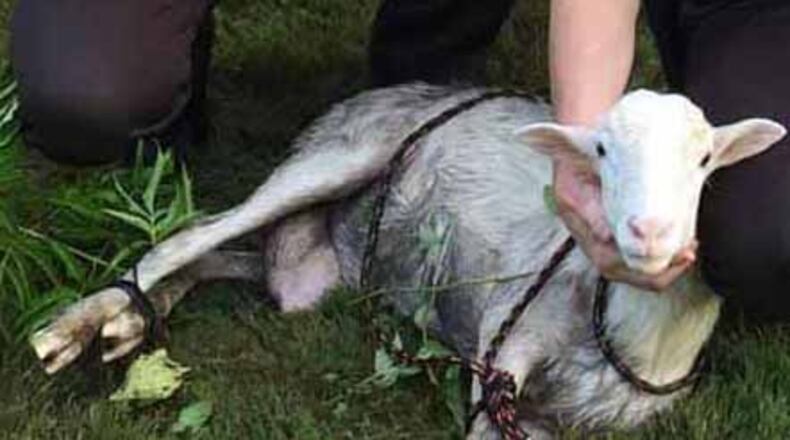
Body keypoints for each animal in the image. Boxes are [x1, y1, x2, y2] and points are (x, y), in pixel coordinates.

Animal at [29, 83, 785, 438]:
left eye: (705, 159)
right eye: (599, 151)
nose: (649, 231)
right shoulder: (504, 344)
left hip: (317, 273)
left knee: (236, 259)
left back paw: (130, 322)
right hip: (340, 152)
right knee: (190, 234)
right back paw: (74, 328)